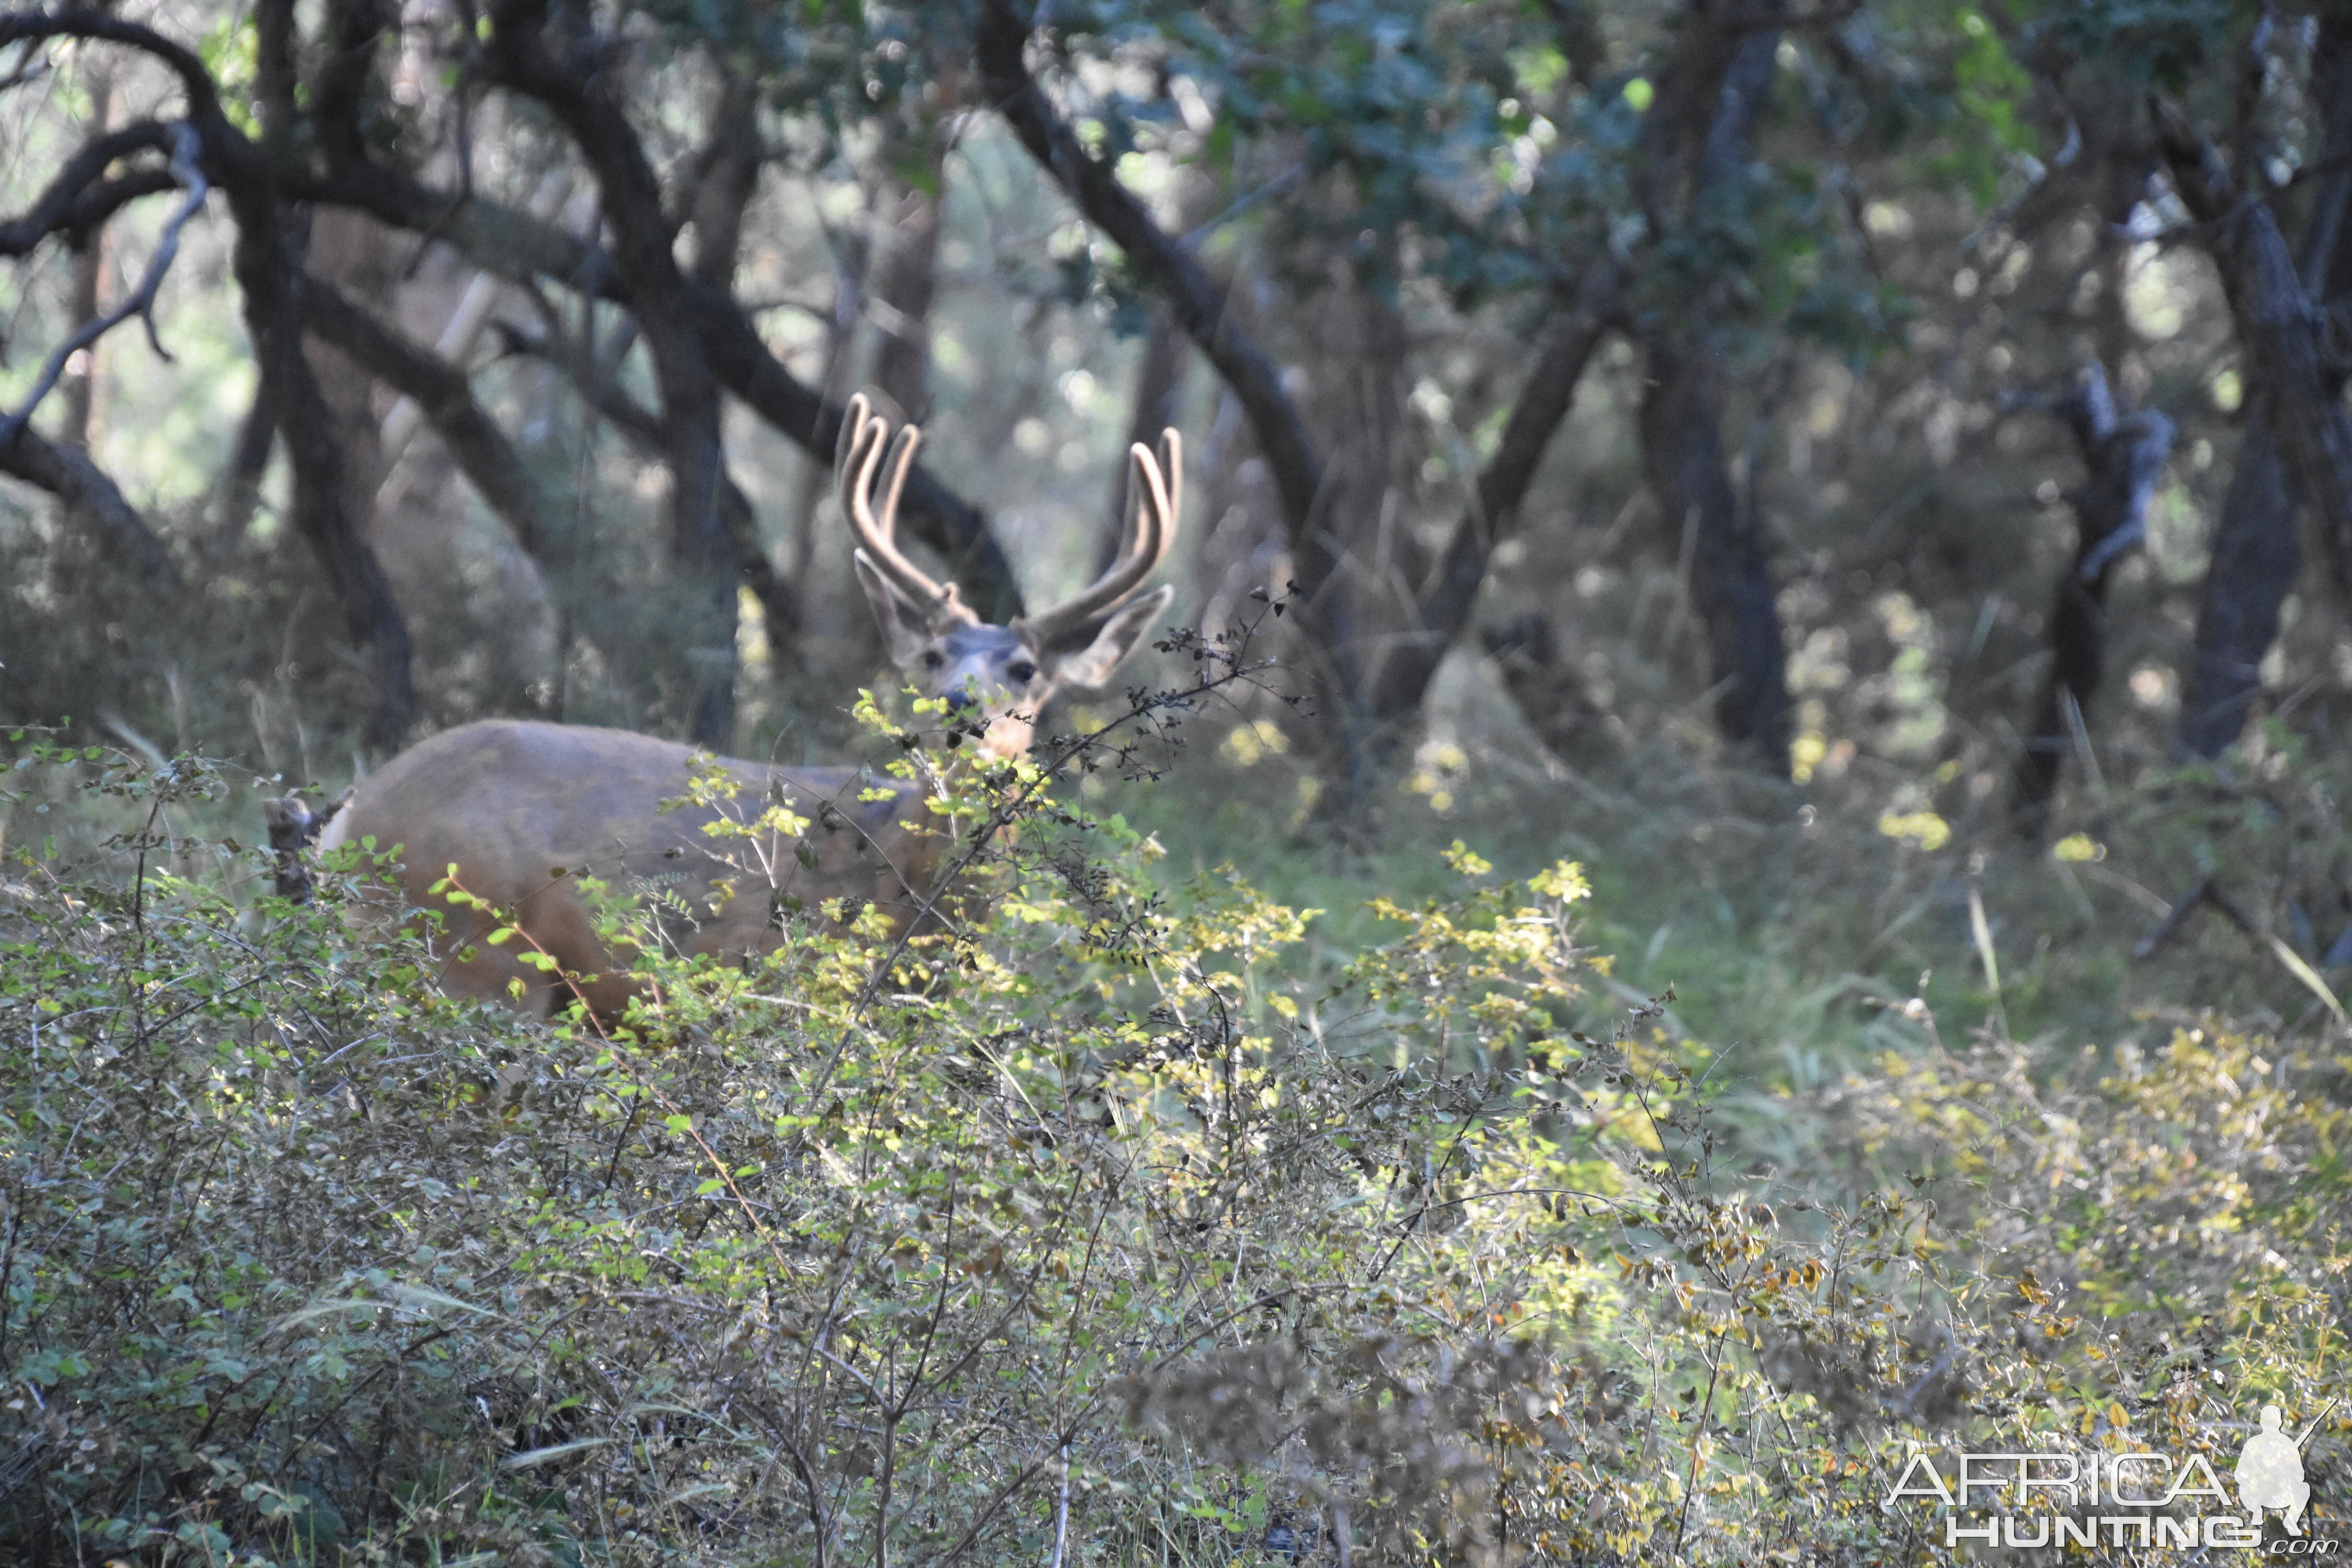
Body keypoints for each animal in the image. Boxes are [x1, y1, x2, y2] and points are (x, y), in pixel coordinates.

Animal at [269, 395, 1185, 1020]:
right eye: (932, 655)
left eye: (1026, 668)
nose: (962, 709)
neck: (905, 882)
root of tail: (349, 817)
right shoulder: (765, 966)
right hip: (468, 953)